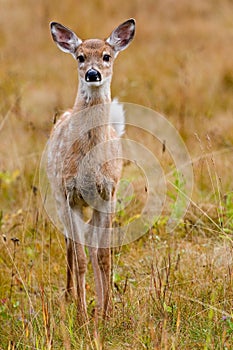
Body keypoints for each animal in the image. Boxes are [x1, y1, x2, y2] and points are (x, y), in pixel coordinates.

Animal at [46, 18, 135, 320]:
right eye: (80, 57)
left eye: (107, 56)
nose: (93, 74)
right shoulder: (69, 194)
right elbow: (82, 257)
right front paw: (83, 316)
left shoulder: (108, 193)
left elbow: (103, 256)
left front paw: (107, 313)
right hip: (59, 198)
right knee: (71, 247)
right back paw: (70, 296)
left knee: (93, 247)